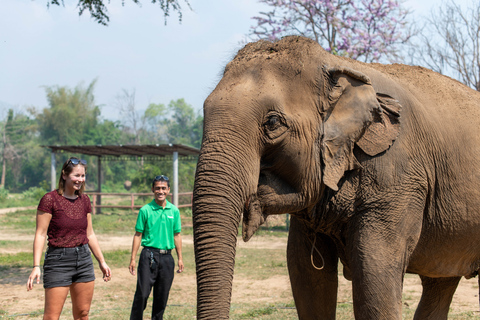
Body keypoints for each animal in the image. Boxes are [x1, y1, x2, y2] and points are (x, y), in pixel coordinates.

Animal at [193, 35, 480, 320]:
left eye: (272, 123)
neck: (336, 64)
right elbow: (306, 276)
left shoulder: (397, 180)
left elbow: (375, 277)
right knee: (440, 282)